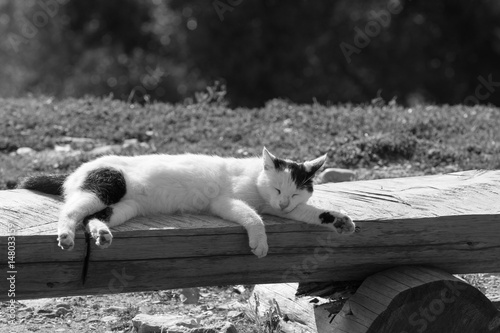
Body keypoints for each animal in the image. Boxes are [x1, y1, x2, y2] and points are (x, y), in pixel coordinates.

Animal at [18, 148, 356, 256]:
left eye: (295, 193)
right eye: (276, 188)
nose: (283, 203)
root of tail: (76, 170)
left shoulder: (287, 208)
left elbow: (312, 212)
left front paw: (339, 220)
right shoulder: (224, 202)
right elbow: (254, 217)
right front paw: (260, 243)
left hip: (124, 207)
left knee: (92, 218)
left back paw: (101, 233)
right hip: (107, 185)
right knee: (71, 210)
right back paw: (65, 235)